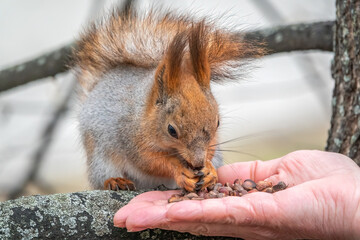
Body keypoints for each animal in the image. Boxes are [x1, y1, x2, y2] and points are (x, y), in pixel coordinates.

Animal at [73, 6, 262, 192]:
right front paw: (179, 169)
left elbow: (210, 151)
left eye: (217, 123)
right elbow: (150, 162)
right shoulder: (131, 139)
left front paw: (209, 170)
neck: (144, 113)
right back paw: (115, 181)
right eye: (171, 130)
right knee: (101, 177)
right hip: (100, 159)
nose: (198, 163)